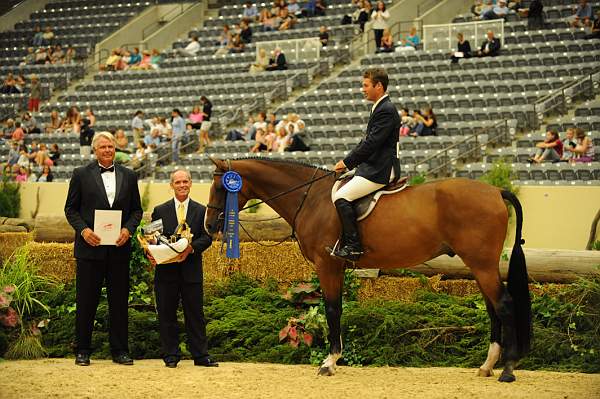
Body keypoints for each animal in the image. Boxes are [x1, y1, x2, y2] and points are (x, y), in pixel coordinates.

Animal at [205, 158, 528, 382]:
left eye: (222, 187)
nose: (209, 226)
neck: (311, 198)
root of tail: (496, 191)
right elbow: (337, 309)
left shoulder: (328, 264)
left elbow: (332, 309)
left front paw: (329, 362)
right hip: (479, 265)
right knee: (492, 307)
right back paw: (487, 366)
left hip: (482, 264)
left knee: (505, 304)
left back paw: (508, 369)